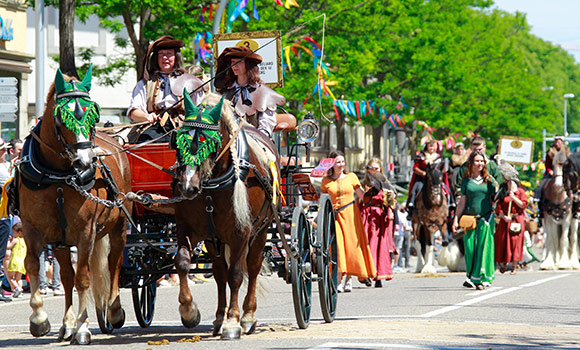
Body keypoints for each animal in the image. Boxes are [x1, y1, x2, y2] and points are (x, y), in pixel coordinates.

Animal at [15, 68, 131, 344]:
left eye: (94, 114)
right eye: (62, 117)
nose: (85, 162)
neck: (57, 177)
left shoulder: (86, 232)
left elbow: (84, 278)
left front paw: (83, 327)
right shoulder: (34, 229)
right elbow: (33, 265)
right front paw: (40, 320)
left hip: (119, 226)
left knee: (114, 262)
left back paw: (113, 311)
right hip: (60, 240)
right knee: (66, 276)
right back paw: (66, 324)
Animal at [170, 91, 278, 340]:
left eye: (209, 141)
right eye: (179, 140)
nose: (188, 187)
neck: (211, 186)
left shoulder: (241, 233)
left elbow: (236, 274)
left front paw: (233, 321)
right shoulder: (188, 229)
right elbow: (182, 262)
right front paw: (189, 311)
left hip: (261, 230)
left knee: (253, 267)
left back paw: (247, 316)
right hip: (214, 240)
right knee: (219, 273)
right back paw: (219, 317)